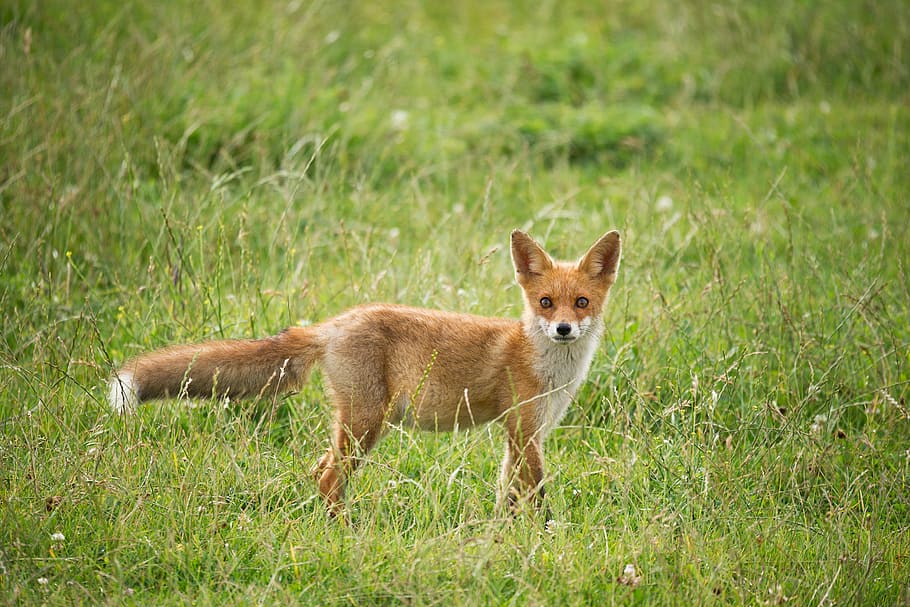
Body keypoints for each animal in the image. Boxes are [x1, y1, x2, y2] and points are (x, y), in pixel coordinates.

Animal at [109, 229, 621, 516]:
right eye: (545, 302)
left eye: (581, 302)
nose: (562, 329)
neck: (547, 367)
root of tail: (333, 323)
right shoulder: (523, 430)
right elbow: (538, 495)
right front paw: (547, 536)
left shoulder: (524, 434)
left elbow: (509, 495)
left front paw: (506, 538)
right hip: (366, 423)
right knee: (328, 478)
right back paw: (344, 532)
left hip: (354, 425)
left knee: (317, 471)